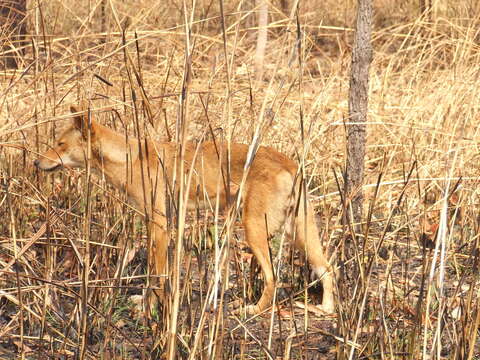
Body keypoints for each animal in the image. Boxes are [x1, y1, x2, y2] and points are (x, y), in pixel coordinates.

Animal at [34, 106, 334, 316]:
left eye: (60, 144)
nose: (36, 163)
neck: (130, 160)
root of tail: (291, 163)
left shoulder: (159, 226)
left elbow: (156, 275)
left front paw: (149, 309)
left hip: (254, 229)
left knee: (273, 278)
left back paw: (253, 310)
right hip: (297, 232)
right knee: (328, 268)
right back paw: (326, 309)